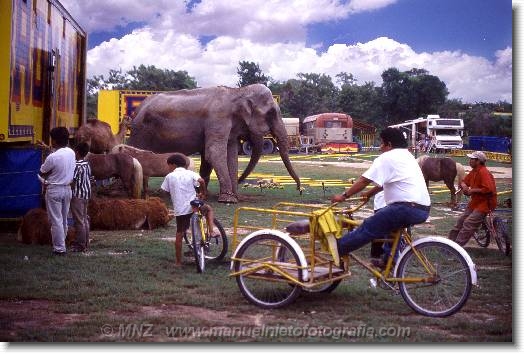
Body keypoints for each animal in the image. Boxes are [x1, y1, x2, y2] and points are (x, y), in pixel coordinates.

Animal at [126, 83, 302, 203]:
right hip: (140, 131)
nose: (299, 190)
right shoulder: (218, 118)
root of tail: (137, 110)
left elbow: (230, 155)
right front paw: (228, 199)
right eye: (271, 113)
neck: (237, 91)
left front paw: (228, 196)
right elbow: (214, 153)